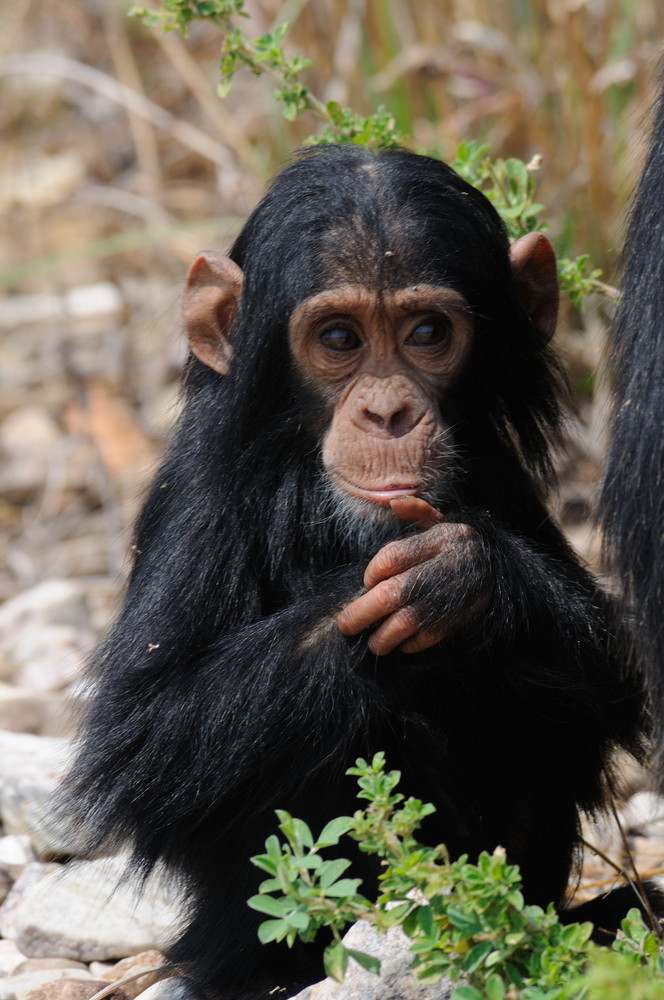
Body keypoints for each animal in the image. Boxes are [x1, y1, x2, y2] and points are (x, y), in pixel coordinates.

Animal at [63, 146, 648, 1000]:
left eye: (428, 332)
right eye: (339, 337)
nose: (387, 413)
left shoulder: (499, 473)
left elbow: (608, 681)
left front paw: (463, 578)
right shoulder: (201, 497)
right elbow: (146, 737)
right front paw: (406, 588)